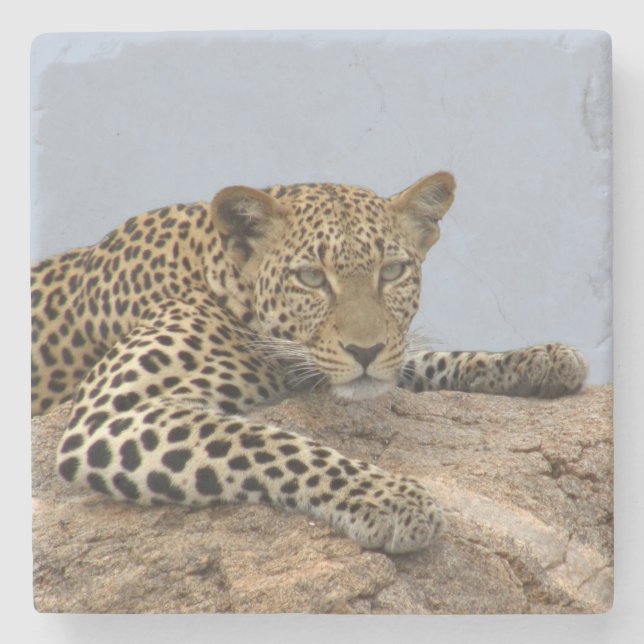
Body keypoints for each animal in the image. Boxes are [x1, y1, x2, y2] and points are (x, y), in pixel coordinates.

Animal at [31, 172, 587, 554]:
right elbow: (269, 443)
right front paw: (393, 500)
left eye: (392, 271)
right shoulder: (113, 413)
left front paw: (543, 359)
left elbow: (422, 358)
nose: (363, 351)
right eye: (311, 278)